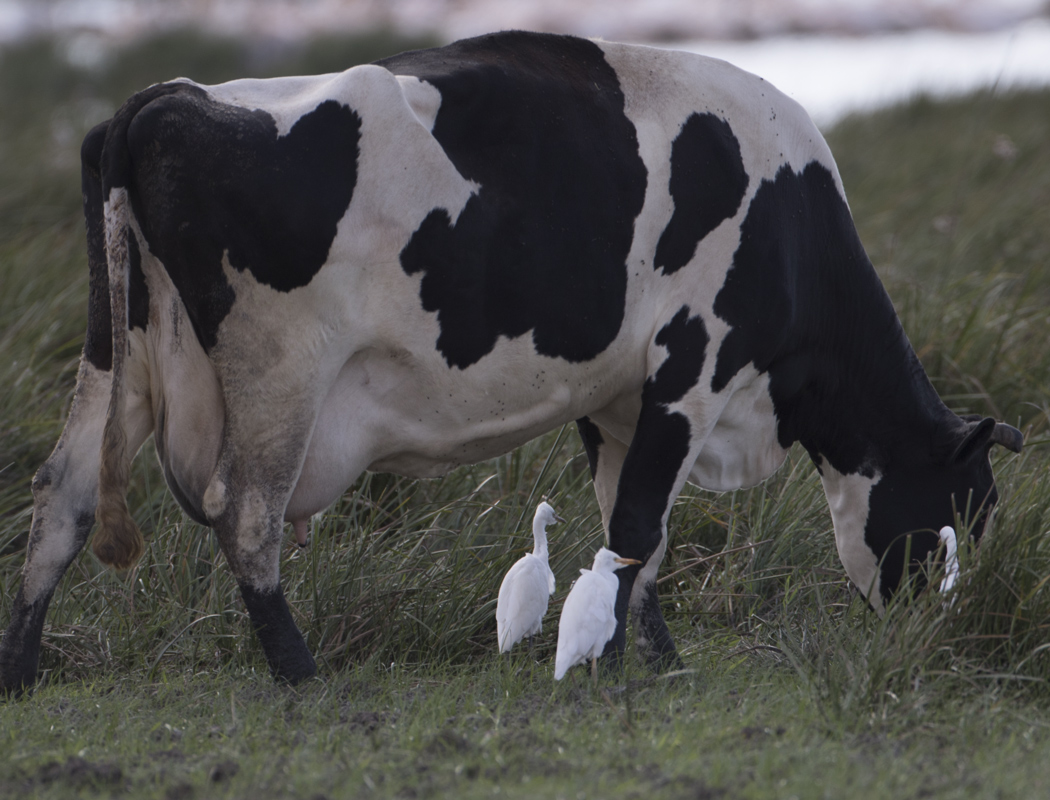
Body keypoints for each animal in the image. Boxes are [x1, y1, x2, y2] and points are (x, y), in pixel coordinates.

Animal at [0, 32, 1016, 692]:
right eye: (962, 512)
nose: (934, 633)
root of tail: (169, 96)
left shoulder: (616, 395)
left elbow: (628, 534)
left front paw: (646, 655)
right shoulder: (691, 363)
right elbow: (640, 523)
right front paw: (621, 665)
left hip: (116, 353)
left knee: (62, 497)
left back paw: (20, 673)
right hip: (280, 372)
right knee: (246, 517)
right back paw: (300, 673)